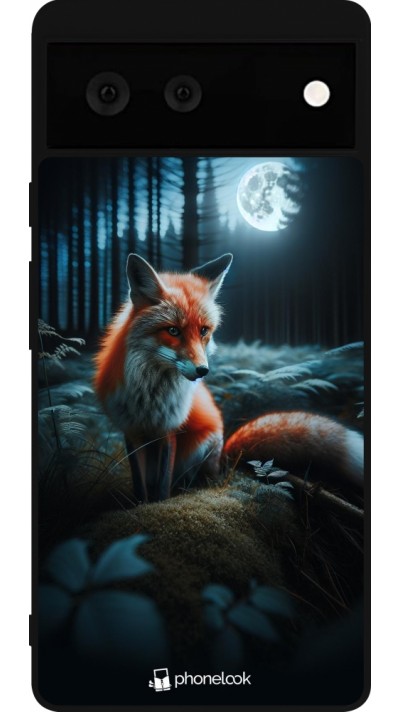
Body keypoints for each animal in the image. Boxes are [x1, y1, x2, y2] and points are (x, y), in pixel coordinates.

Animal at [94, 252, 363, 502]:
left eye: (204, 331)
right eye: (173, 330)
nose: (202, 371)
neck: (150, 394)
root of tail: (225, 456)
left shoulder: (168, 431)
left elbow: (162, 487)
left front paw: (159, 504)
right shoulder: (131, 431)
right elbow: (141, 486)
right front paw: (141, 505)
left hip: (204, 446)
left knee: (198, 479)